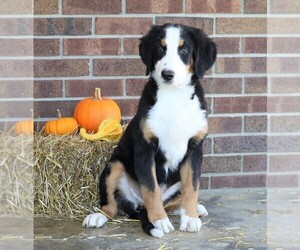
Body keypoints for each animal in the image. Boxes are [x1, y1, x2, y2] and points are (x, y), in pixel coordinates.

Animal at [83, 23, 217, 238]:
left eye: (184, 50)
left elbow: (192, 188)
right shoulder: (145, 148)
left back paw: (196, 209)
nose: (167, 74)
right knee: (111, 206)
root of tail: (138, 206)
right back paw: (97, 217)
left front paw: (190, 218)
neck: (174, 97)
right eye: (161, 49)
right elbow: (151, 188)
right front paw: (159, 221)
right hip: (114, 166)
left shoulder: (194, 149)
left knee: (173, 202)